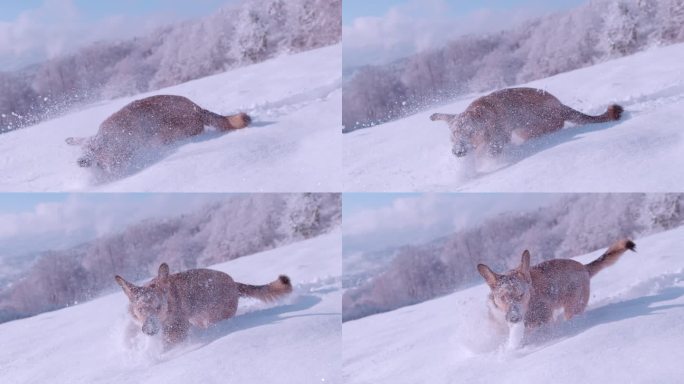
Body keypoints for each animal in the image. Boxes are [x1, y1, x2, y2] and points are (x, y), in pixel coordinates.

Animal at [115, 260, 292, 348]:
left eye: (158, 307)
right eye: (140, 309)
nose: (149, 330)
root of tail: (234, 284)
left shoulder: (179, 327)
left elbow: (168, 342)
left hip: (214, 317)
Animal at [430, 87, 624, 158]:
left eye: (470, 132)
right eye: (453, 136)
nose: (458, 151)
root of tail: (560, 106)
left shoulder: (499, 139)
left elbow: (490, 150)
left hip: (529, 128)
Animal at [478, 238, 632, 346]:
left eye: (521, 295)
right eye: (503, 297)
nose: (514, 318)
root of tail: (584, 267)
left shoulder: (542, 319)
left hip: (573, 307)